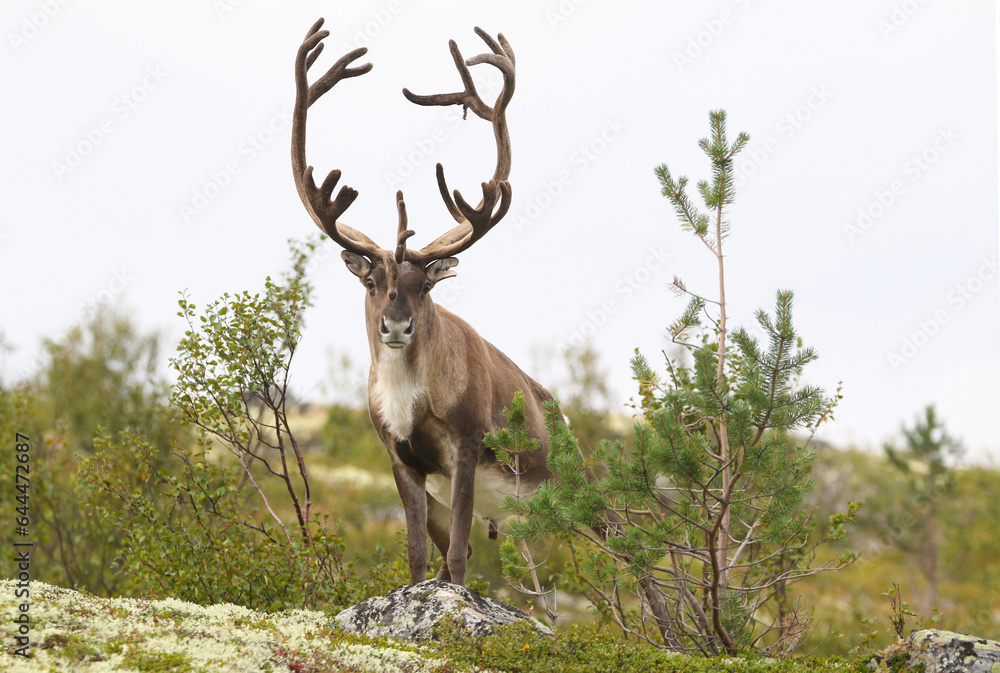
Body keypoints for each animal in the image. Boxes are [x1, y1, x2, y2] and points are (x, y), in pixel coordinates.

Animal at [290, 18, 554, 588]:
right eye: (371, 282)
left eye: (427, 286)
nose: (396, 325)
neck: (410, 401)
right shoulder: (400, 458)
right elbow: (418, 557)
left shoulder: (467, 445)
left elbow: (454, 558)